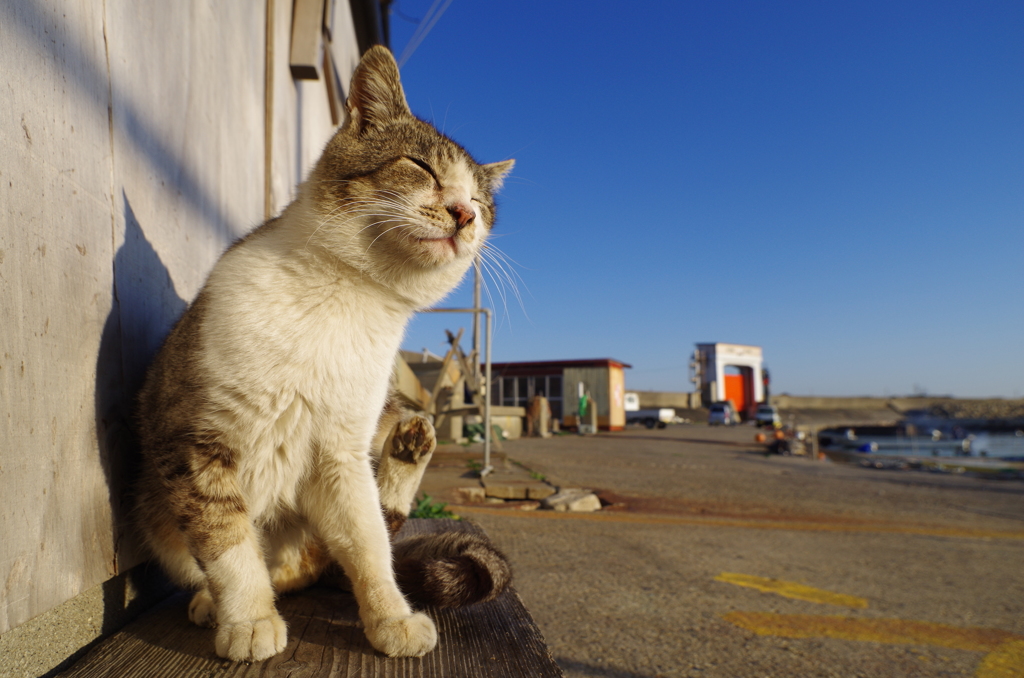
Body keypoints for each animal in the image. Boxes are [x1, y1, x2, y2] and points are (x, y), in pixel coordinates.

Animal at [136, 46, 516, 663]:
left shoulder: (341, 453)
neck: (349, 299)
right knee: (246, 563)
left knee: (341, 545)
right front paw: (248, 620)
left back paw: (410, 449)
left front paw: (391, 617)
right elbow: (227, 542)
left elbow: (368, 542)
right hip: (157, 512)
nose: (465, 213)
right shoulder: (196, 444)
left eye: (482, 203)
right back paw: (213, 603)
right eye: (422, 167)